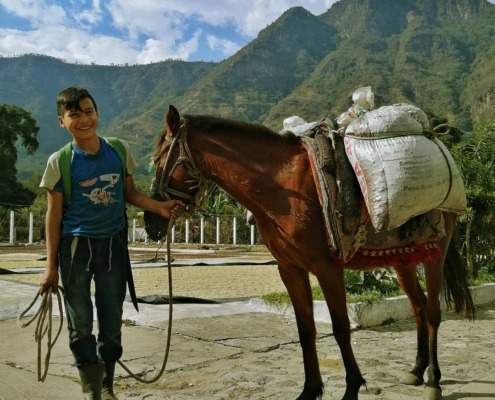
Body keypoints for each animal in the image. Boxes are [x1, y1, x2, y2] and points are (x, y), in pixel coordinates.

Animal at [144, 104, 476, 398]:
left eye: (158, 161)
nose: (150, 223)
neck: (281, 186)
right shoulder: (290, 269)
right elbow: (306, 330)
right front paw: (310, 390)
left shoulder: (328, 268)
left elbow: (341, 328)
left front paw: (352, 388)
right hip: (402, 260)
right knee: (418, 307)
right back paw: (417, 371)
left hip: (435, 255)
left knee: (432, 312)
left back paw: (433, 381)